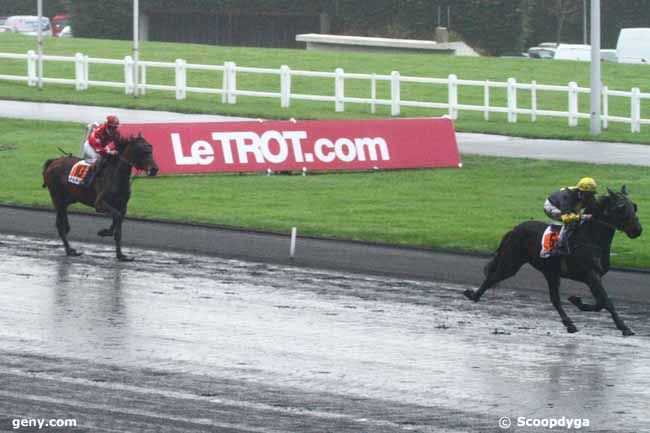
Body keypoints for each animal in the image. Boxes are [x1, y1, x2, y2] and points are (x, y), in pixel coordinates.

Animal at [42, 132, 158, 260]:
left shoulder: (122, 206)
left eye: (151, 148)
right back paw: (69, 250)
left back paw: (70, 246)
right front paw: (104, 233)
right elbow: (117, 217)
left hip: (67, 199)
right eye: (141, 150)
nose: (154, 169)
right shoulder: (100, 204)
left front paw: (120, 254)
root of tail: (53, 162)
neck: (115, 175)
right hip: (57, 197)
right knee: (59, 225)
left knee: (64, 220)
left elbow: (118, 224)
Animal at [464, 186, 640, 334]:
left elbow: (600, 302)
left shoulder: (593, 277)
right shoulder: (591, 274)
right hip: (512, 263)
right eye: (621, 207)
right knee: (493, 278)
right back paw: (473, 295)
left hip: (551, 272)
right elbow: (606, 301)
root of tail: (515, 229)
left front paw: (576, 300)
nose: (638, 230)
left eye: (634, 206)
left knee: (555, 299)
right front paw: (625, 328)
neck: (591, 238)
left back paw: (569, 324)